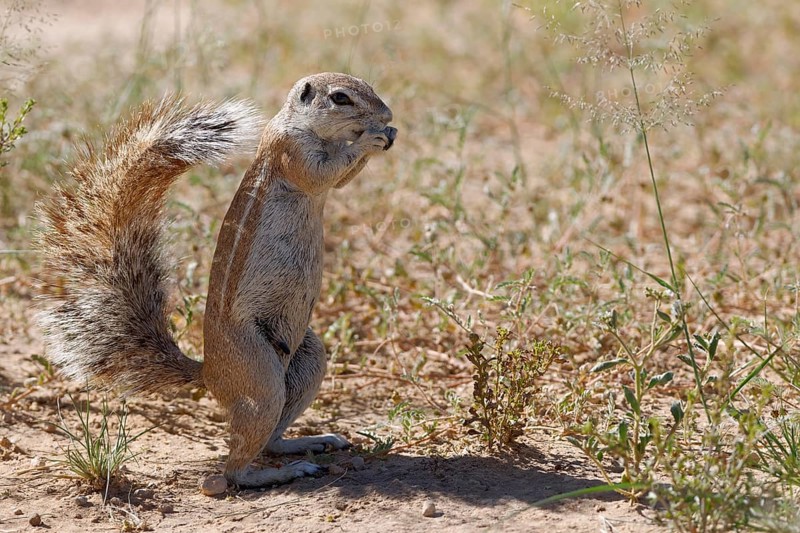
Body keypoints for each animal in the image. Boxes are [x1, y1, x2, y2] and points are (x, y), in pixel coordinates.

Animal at [36, 72, 397, 488]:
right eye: (340, 98)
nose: (387, 115)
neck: (310, 128)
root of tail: (208, 373)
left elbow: (340, 180)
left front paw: (386, 133)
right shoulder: (292, 152)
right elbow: (326, 173)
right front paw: (370, 138)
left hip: (307, 359)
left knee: (271, 440)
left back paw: (310, 442)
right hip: (260, 376)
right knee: (233, 470)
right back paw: (280, 472)